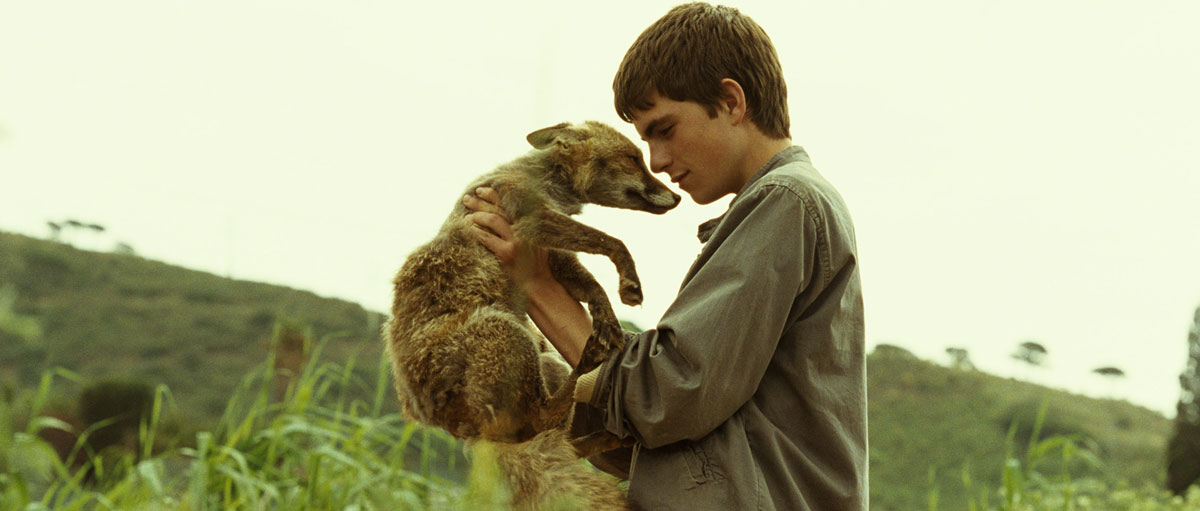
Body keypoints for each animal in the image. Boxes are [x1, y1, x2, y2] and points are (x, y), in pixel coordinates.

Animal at [388, 118, 681, 451]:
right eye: (634, 159)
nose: (677, 197)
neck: (546, 182)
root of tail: (427, 417)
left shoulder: (553, 257)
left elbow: (594, 287)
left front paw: (608, 317)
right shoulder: (530, 216)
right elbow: (612, 241)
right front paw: (628, 281)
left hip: (546, 363)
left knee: (557, 439)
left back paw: (605, 432)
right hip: (504, 332)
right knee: (540, 421)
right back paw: (588, 363)